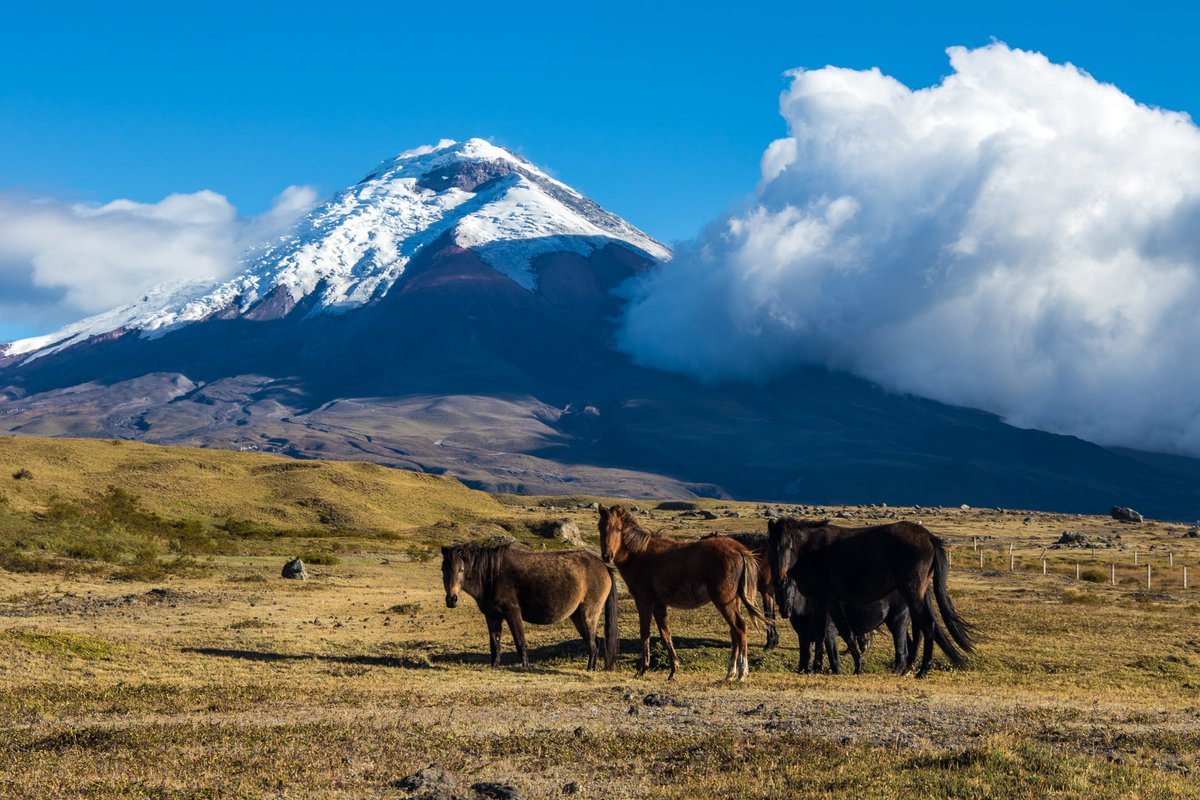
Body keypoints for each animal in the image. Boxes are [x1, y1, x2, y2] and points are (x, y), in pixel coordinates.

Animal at [441, 540, 619, 670]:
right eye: (443, 570)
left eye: (461, 569)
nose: (451, 599)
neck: (491, 576)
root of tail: (604, 566)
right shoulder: (492, 617)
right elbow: (495, 645)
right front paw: (494, 667)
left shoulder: (513, 613)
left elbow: (520, 643)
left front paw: (526, 667)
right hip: (577, 616)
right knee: (593, 643)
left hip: (589, 614)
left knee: (594, 644)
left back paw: (590, 669)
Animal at [598, 504, 765, 681]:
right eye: (601, 527)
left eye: (618, 529)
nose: (607, 556)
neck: (638, 554)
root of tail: (739, 550)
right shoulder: (659, 604)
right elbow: (665, 634)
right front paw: (673, 671)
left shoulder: (644, 601)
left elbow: (645, 633)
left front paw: (642, 669)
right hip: (733, 601)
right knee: (734, 632)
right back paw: (730, 673)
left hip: (724, 601)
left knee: (740, 628)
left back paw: (741, 673)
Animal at [766, 517, 974, 678]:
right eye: (772, 547)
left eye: (789, 546)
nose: (779, 579)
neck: (811, 551)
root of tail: (930, 538)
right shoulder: (833, 601)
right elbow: (847, 632)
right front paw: (857, 665)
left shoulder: (821, 598)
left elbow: (820, 632)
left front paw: (817, 667)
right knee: (919, 629)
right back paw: (908, 668)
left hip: (912, 593)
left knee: (927, 625)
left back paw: (921, 670)